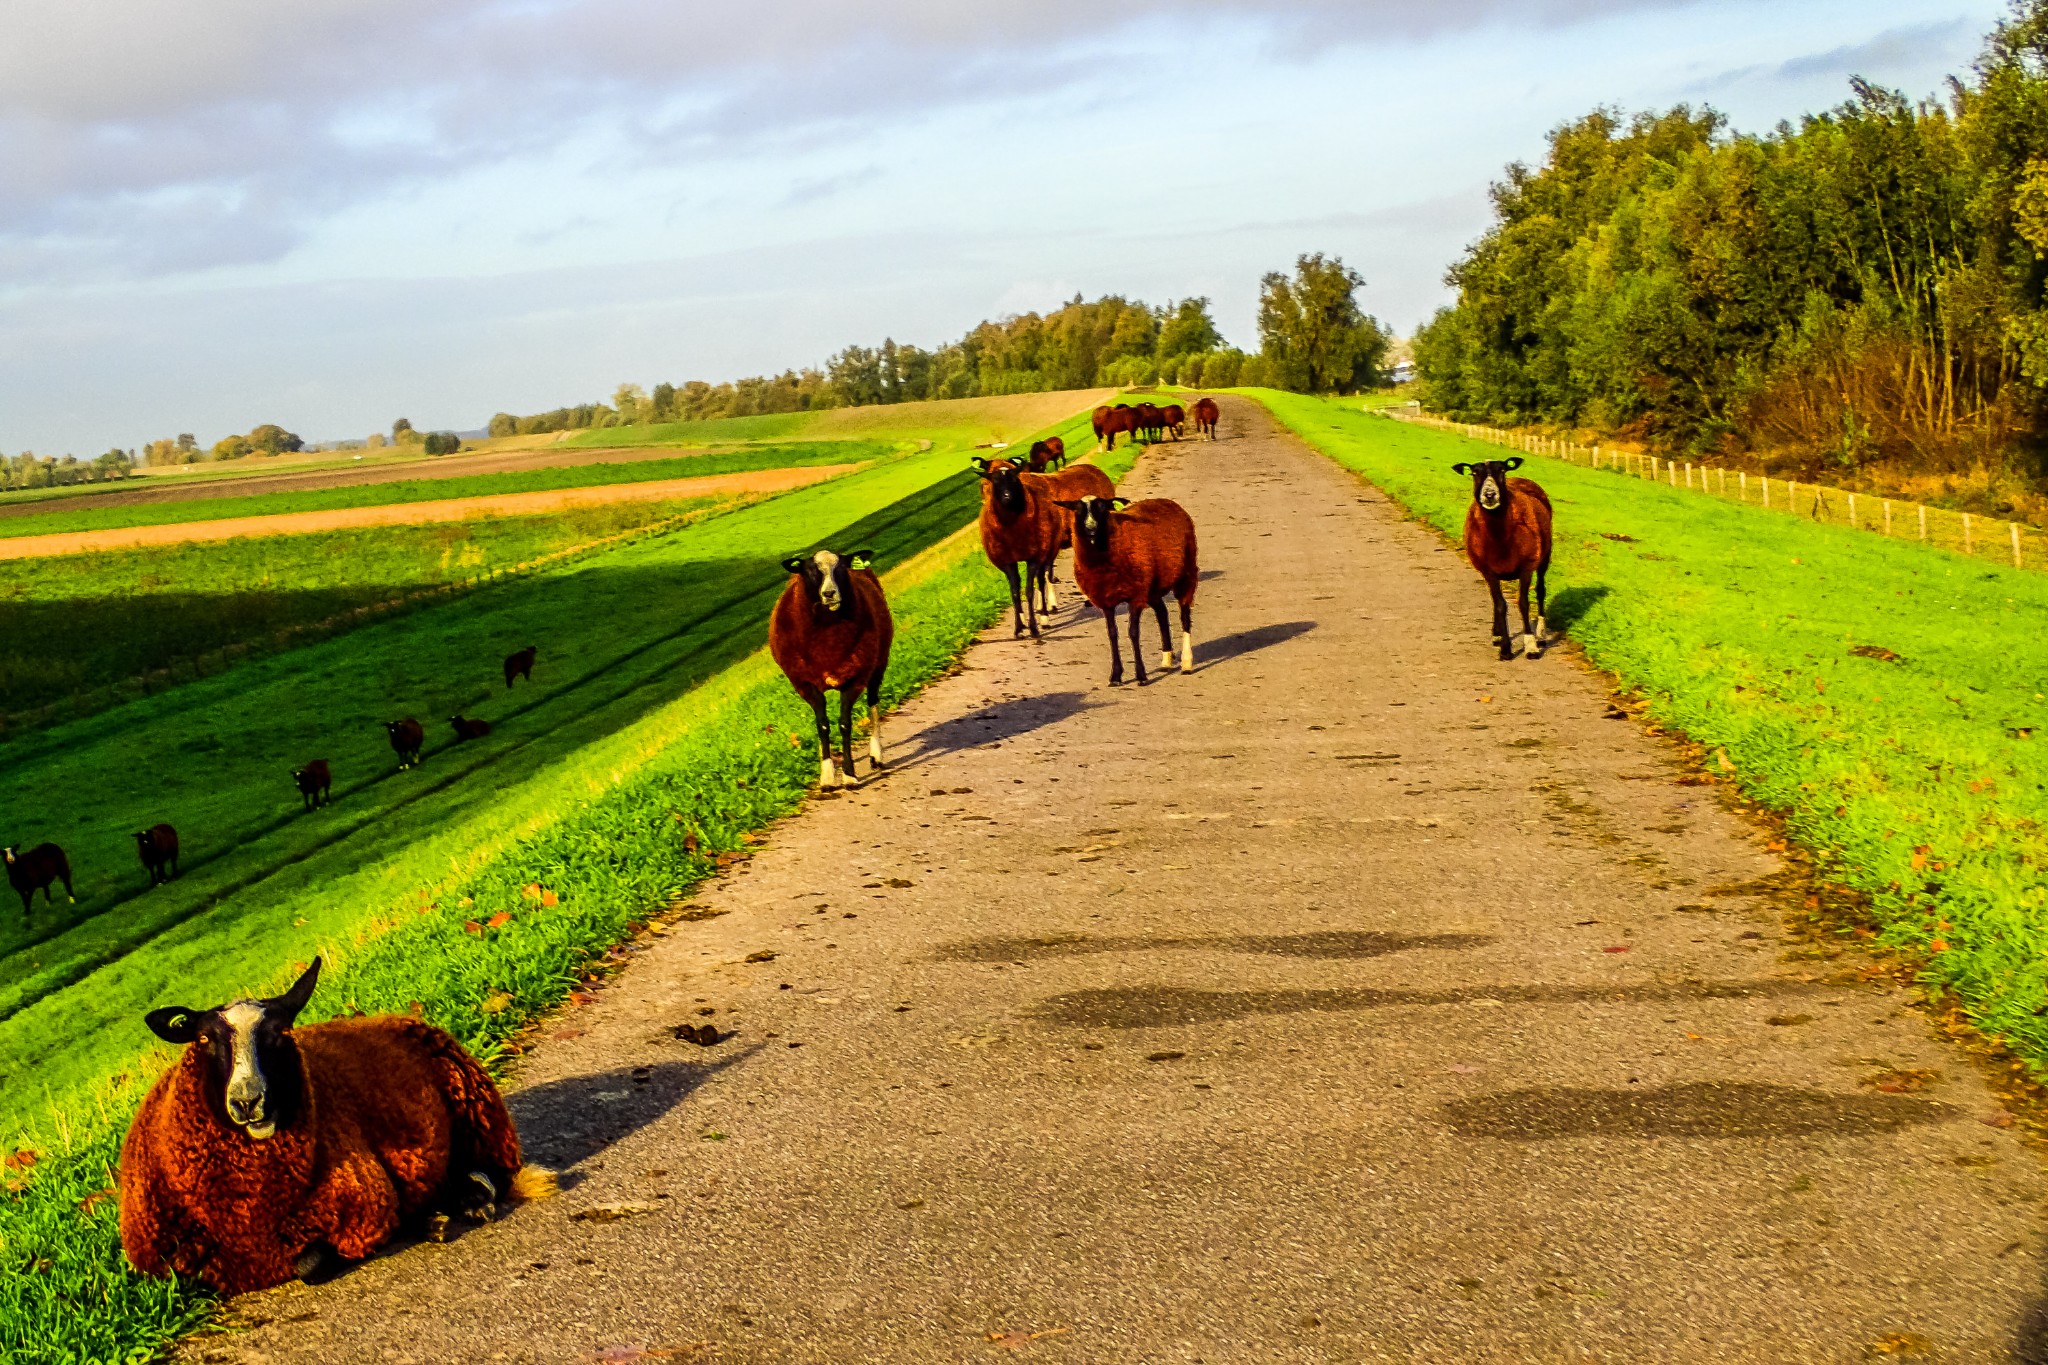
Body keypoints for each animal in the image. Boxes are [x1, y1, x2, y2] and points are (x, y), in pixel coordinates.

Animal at [770, 548, 892, 789]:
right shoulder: (805, 684)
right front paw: (826, 775)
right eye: (810, 570)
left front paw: (849, 774)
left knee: (873, 703)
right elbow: (822, 725)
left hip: (878, 663)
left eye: (842, 567)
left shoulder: (855, 678)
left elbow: (845, 724)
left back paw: (876, 754)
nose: (829, 594)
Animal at [1056, 497, 1196, 687]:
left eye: (1103, 508)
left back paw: (1186, 663)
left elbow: (1133, 633)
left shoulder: (1135, 596)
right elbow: (1112, 634)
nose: (1091, 527)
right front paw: (1115, 676)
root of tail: (1168, 502)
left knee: (1185, 617)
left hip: (1186, 573)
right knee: (1162, 613)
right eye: (1078, 510)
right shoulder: (1106, 600)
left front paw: (1141, 675)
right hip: (1152, 587)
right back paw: (1166, 660)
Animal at [1449, 458, 1556, 663]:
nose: (1490, 494)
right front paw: (1505, 648)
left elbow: (1523, 603)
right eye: (1474, 473)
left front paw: (1531, 646)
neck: (1500, 538)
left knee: (1540, 591)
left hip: (1544, 556)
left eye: (1502, 470)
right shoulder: (1488, 571)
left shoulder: (1526, 567)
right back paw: (1497, 634)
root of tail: (1520, 478)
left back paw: (1540, 635)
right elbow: (1500, 605)